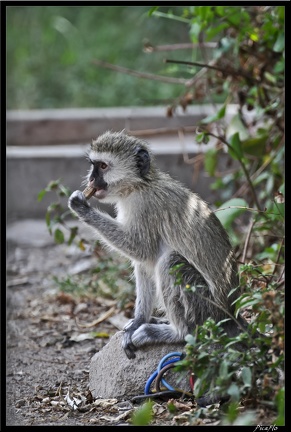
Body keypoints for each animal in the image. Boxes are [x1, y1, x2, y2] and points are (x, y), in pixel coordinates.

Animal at [68, 130, 246, 360]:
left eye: (103, 166)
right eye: (93, 165)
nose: (91, 178)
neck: (139, 185)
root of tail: (230, 313)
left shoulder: (144, 207)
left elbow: (141, 248)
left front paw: (82, 207)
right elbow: (143, 260)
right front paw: (138, 321)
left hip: (207, 309)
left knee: (169, 260)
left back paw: (177, 332)